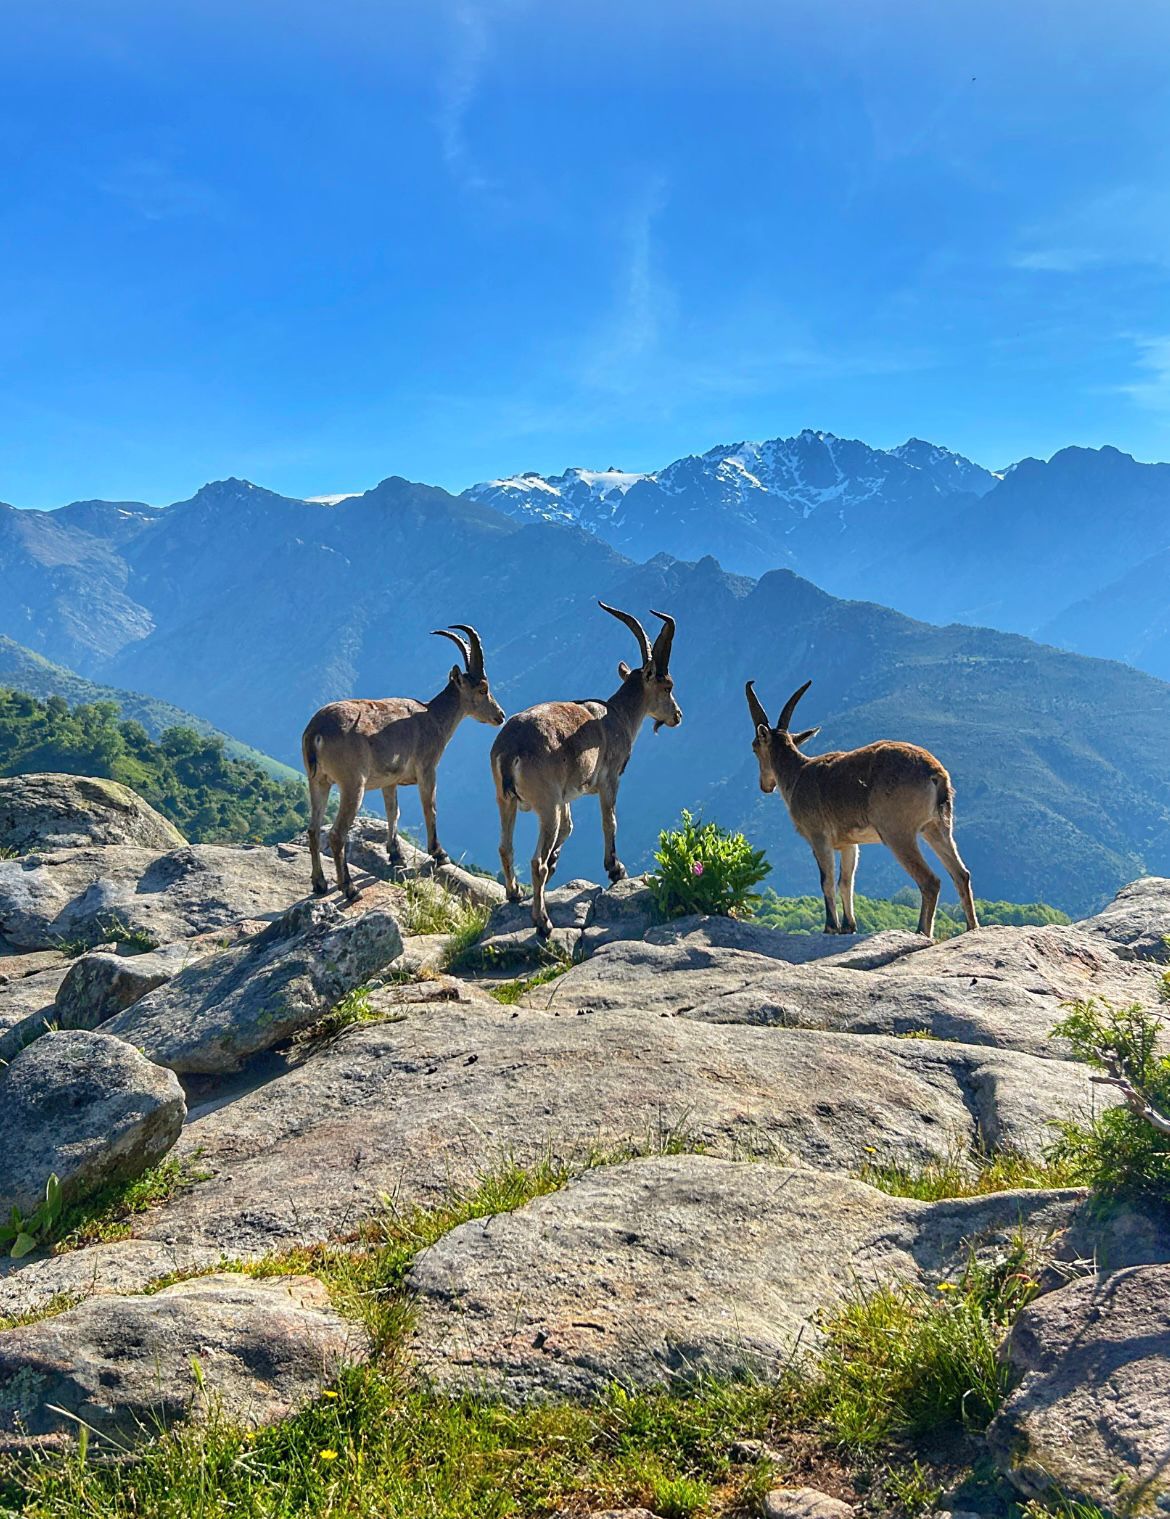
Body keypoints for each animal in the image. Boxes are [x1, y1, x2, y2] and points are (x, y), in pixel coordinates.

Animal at [302, 624, 504, 900]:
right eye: (483, 689)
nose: (500, 715)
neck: (433, 717)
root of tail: (316, 732)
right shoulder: (428, 768)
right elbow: (430, 807)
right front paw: (439, 853)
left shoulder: (390, 780)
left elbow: (393, 811)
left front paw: (395, 854)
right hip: (352, 784)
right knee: (336, 834)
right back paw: (350, 888)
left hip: (318, 781)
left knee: (313, 829)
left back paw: (320, 883)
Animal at [491, 602, 682, 936]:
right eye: (667, 685)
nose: (677, 715)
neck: (617, 715)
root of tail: (511, 748)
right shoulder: (609, 780)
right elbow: (610, 822)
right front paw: (616, 869)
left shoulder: (566, 796)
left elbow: (569, 828)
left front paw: (558, 861)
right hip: (546, 805)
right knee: (535, 862)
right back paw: (543, 922)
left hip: (507, 800)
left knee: (506, 847)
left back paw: (515, 893)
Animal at [746, 678, 978, 938]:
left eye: (755, 747)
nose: (766, 786)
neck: (797, 774)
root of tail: (935, 774)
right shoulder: (850, 843)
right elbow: (846, 882)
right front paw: (849, 926)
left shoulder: (819, 837)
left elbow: (826, 881)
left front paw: (831, 927)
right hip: (937, 827)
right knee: (961, 874)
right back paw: (972, 928)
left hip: (898, 833)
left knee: (930, 881)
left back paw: (921, 931)